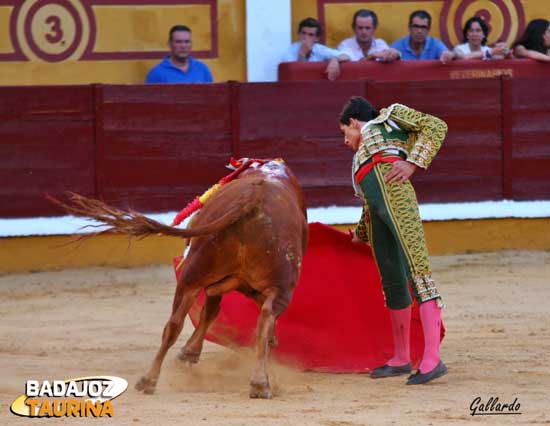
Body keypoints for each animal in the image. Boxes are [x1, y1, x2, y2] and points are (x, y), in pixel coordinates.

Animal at [56, 158, 310, 398]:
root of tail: (255, 196)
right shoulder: (222, 286)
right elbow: (211, 312)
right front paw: (189, 353)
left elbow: (209, 313)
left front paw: (188, 353)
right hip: (264, 284)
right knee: (262, 317)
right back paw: (259, 381)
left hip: (195, 277)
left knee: (175, 323)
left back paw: (149, 380)